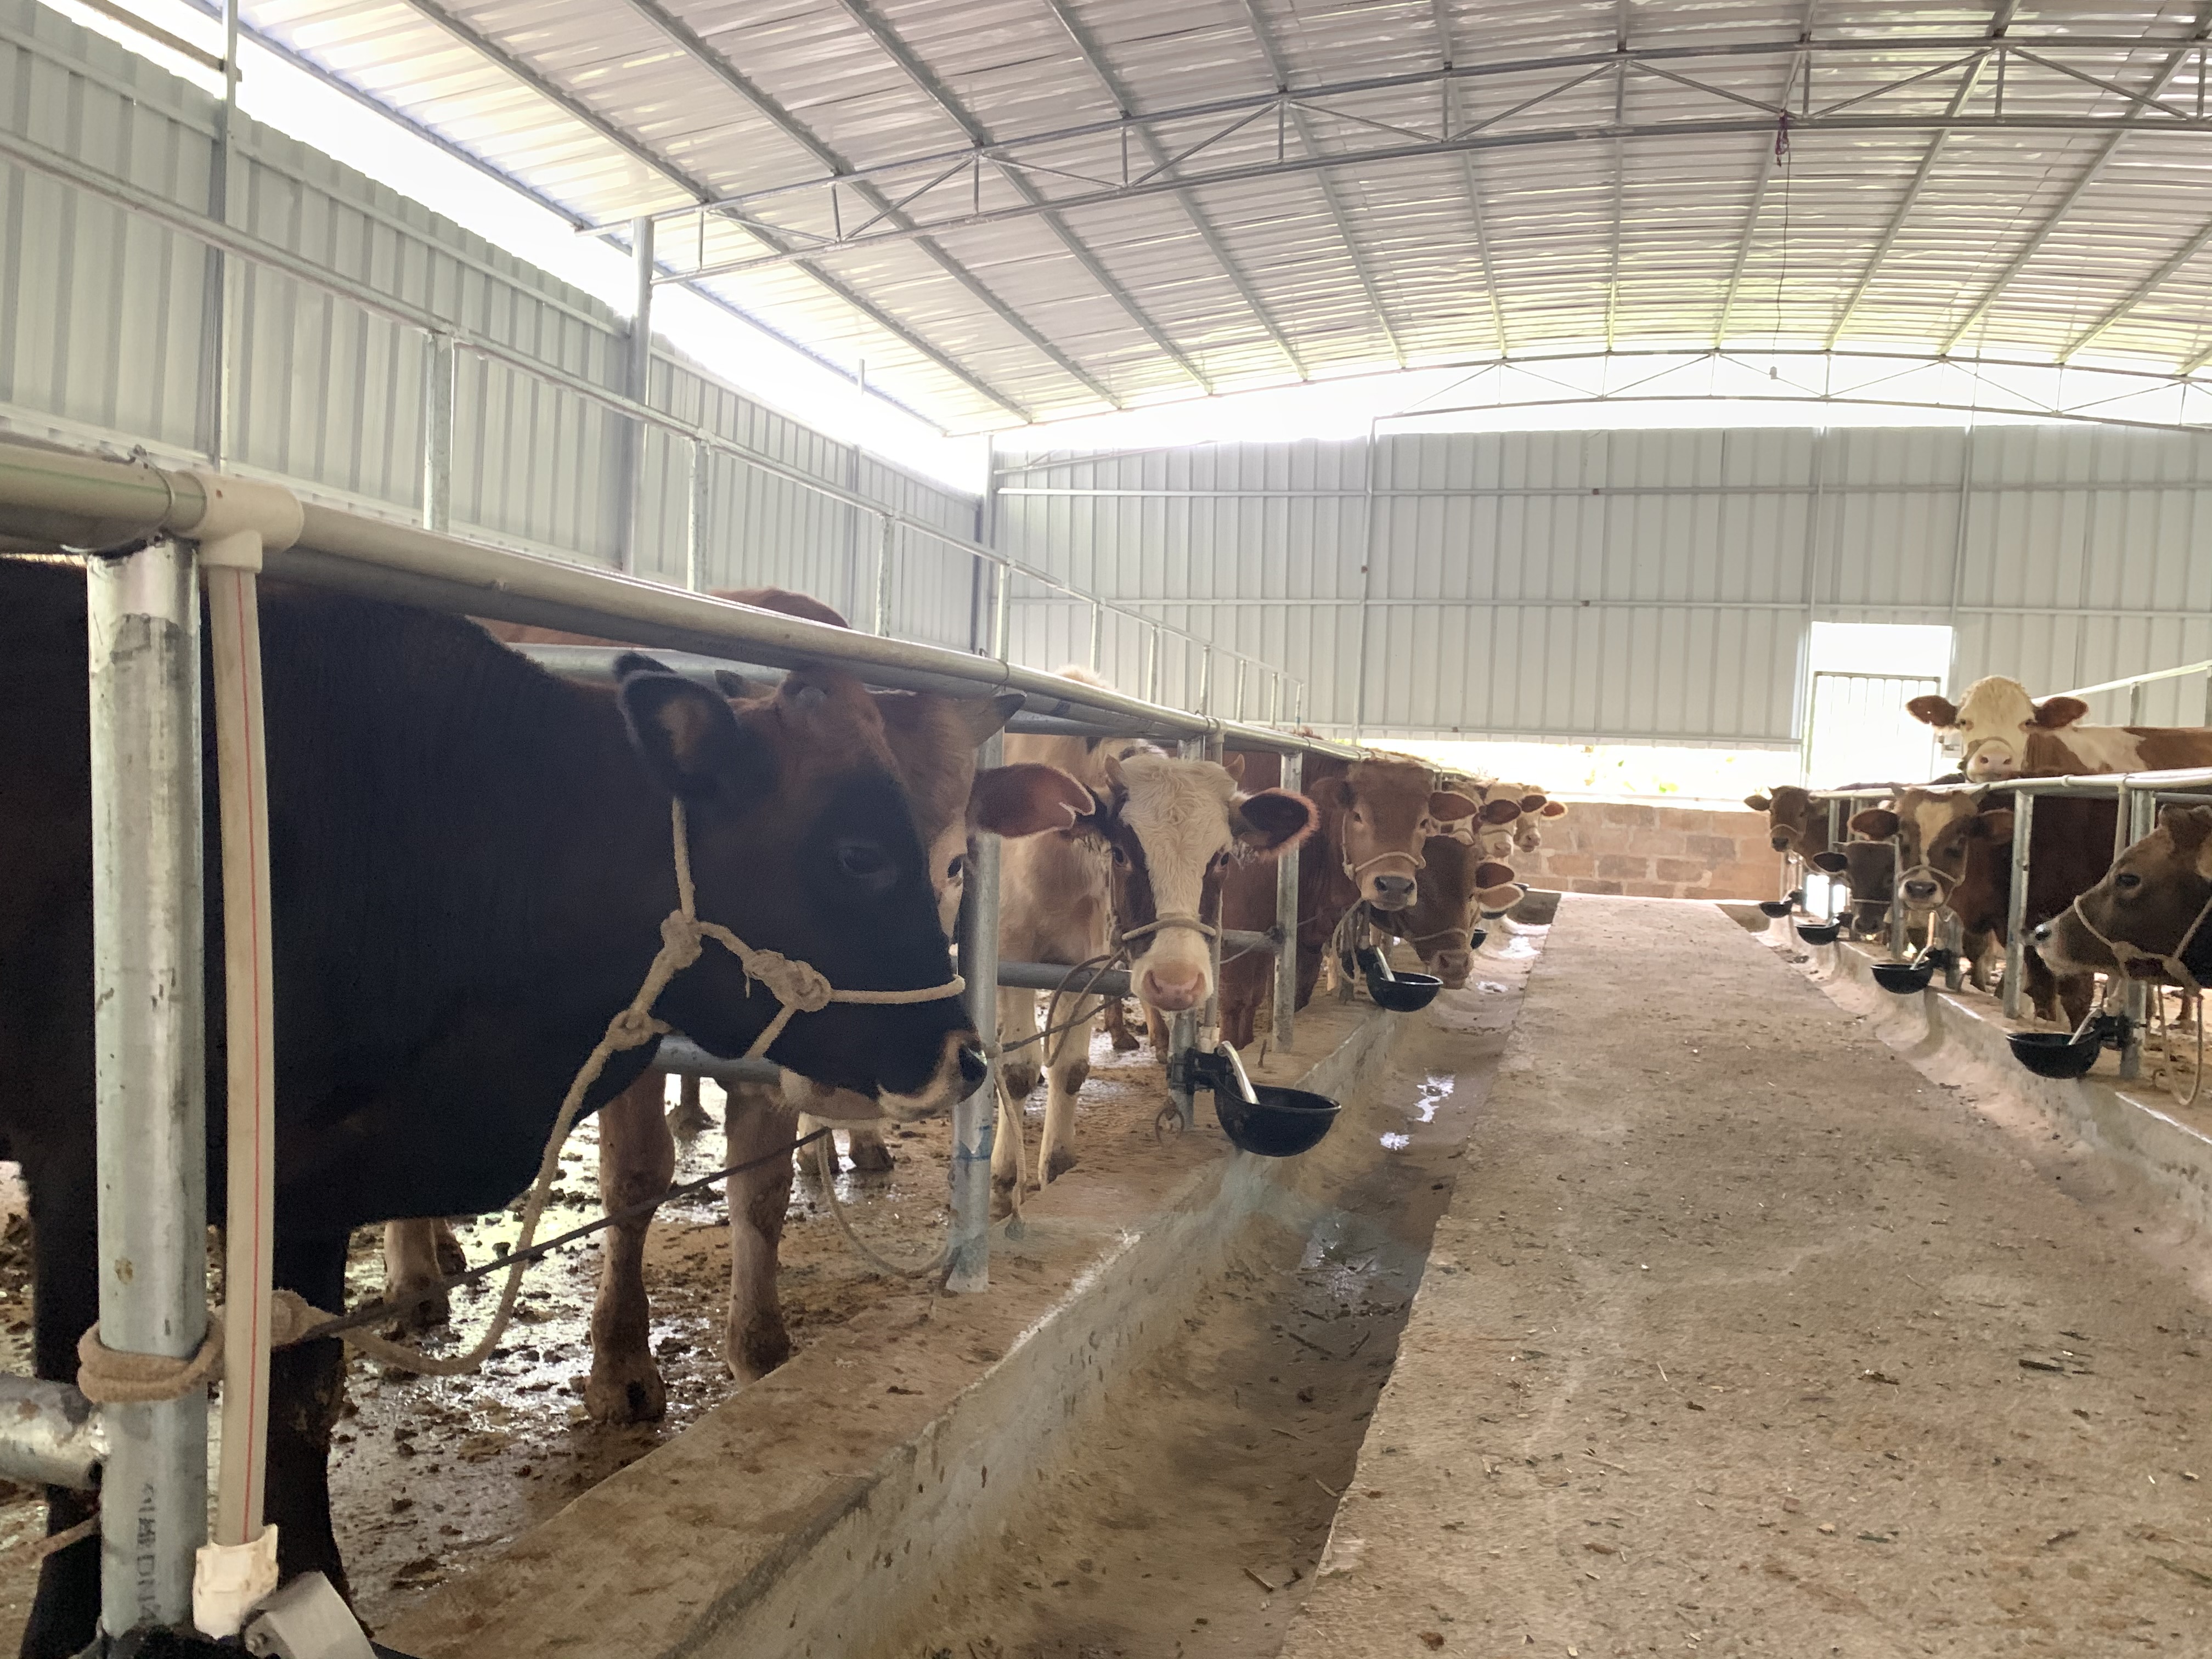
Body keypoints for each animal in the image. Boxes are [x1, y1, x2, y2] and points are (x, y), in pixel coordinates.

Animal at [0, 558, 986, 1656]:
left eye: (955, 856)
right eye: (860, 854)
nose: (969, 1054)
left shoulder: (306, 1181)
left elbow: (302, 1400)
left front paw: (333, 1601)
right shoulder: (86, 1171)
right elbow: (83, 1455)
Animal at [994, 677, 1315, 1204]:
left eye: (1223, 858)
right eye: (1122, 853)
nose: (1176, 982)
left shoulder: (1082, 961)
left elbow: (1072, 1067)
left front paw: (1056, 1166)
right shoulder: (1009, 952)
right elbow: (1016, 1071)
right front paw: (1004, 1180)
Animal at [1217, 752, 1478, 1050]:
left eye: (1423, 822)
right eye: (1358, 815)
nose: (1456, 963)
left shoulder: (1301, 944)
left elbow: (1288, 998)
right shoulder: (1237, 936)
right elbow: (1237, 1004)